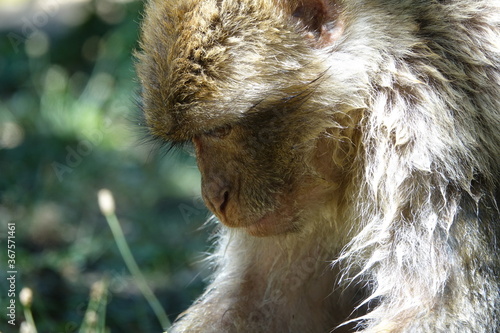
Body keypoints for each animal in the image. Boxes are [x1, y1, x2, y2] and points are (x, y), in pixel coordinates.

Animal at [135, 0, 498, 330]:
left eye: (219, 131)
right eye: (198, 137)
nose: (213, 198)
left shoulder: (423, 130)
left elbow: (441, 310)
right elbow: (263, 302)